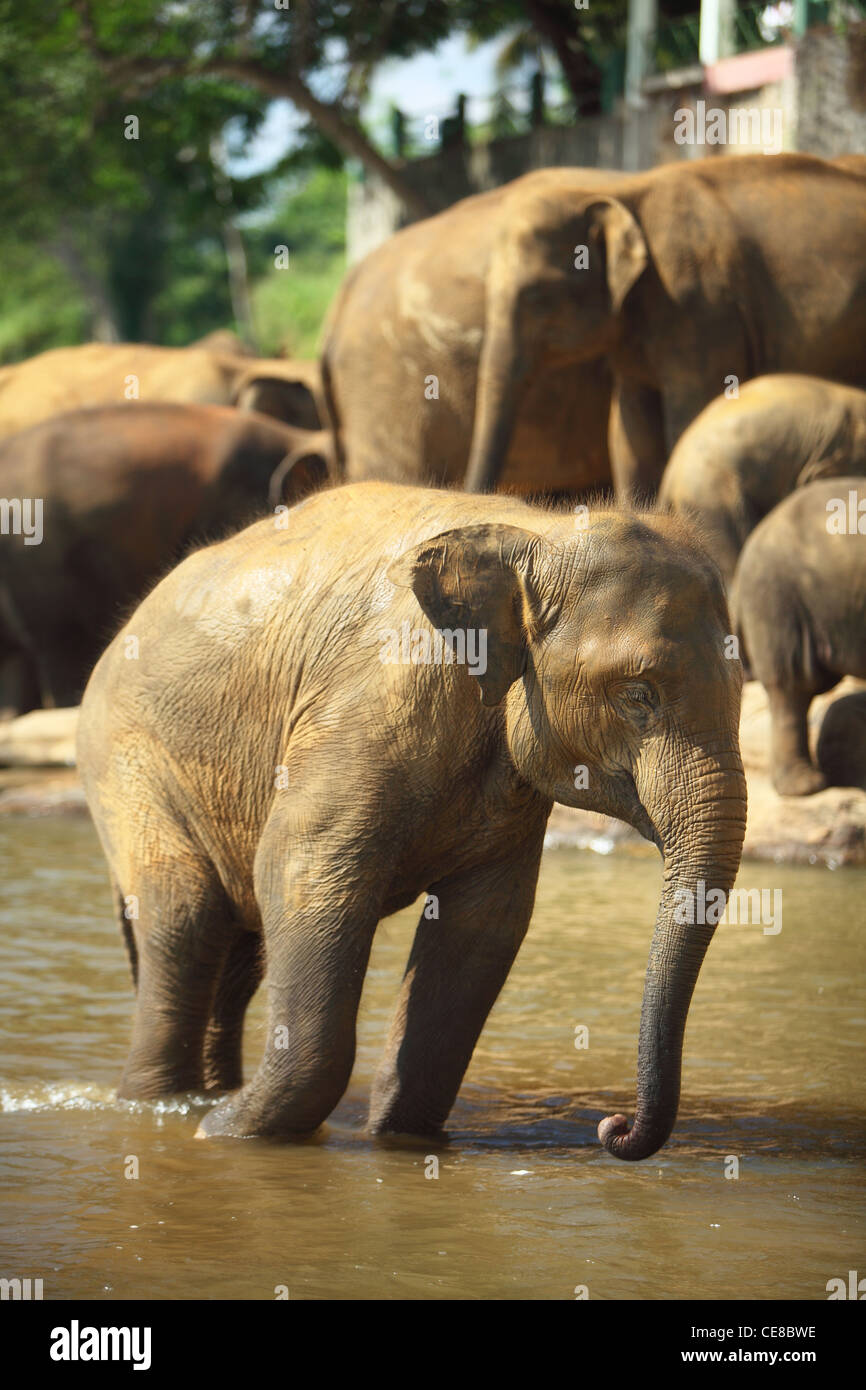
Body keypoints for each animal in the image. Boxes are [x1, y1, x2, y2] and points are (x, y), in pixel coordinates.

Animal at [77, 480, 747, 1162]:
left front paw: (399, 1140)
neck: (536, 532)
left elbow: (484, 922)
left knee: (237, 942)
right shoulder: (369, 704)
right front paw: (227, 1133)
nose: (612, 1128)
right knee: (186, 914)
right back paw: (168, 1109)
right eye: (639, 696)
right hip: (128, 760)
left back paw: (203, 1099)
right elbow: (299, 870)